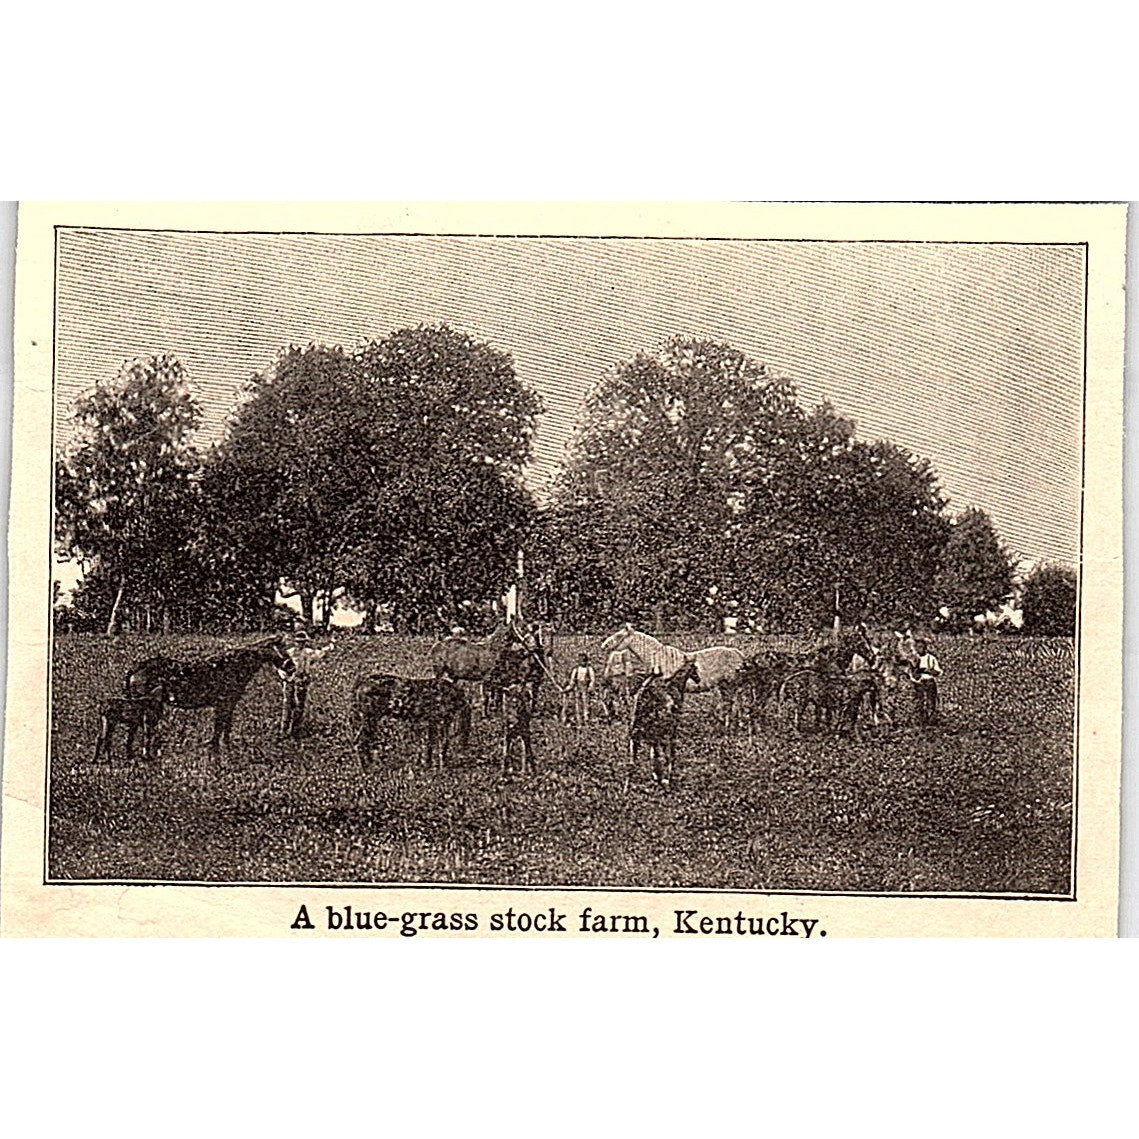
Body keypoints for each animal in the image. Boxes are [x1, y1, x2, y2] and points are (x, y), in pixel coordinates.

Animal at [124, 637, 293, 760]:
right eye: (282, 649)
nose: (291, 667)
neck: (235, 666)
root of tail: (135, 668)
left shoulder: (229, 705)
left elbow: (225, 727)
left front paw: (225, 749)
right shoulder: (223, 703)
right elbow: (219, 728)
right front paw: (217, 752)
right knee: (146, 728)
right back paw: (147, 755)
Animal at [628, 660, 697, 792]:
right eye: (695, 669)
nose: (698, 679)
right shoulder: (672, 726)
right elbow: (667, 752)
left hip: (638, 727)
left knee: (636, 753)